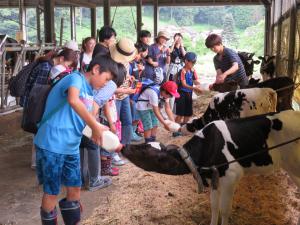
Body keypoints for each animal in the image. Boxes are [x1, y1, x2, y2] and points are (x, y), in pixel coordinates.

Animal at [122, 110, 300, 225]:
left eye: (144, 150)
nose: (124, 146)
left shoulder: (231, 177)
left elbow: (225, 208)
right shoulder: (214, 178)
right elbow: (215, 207)